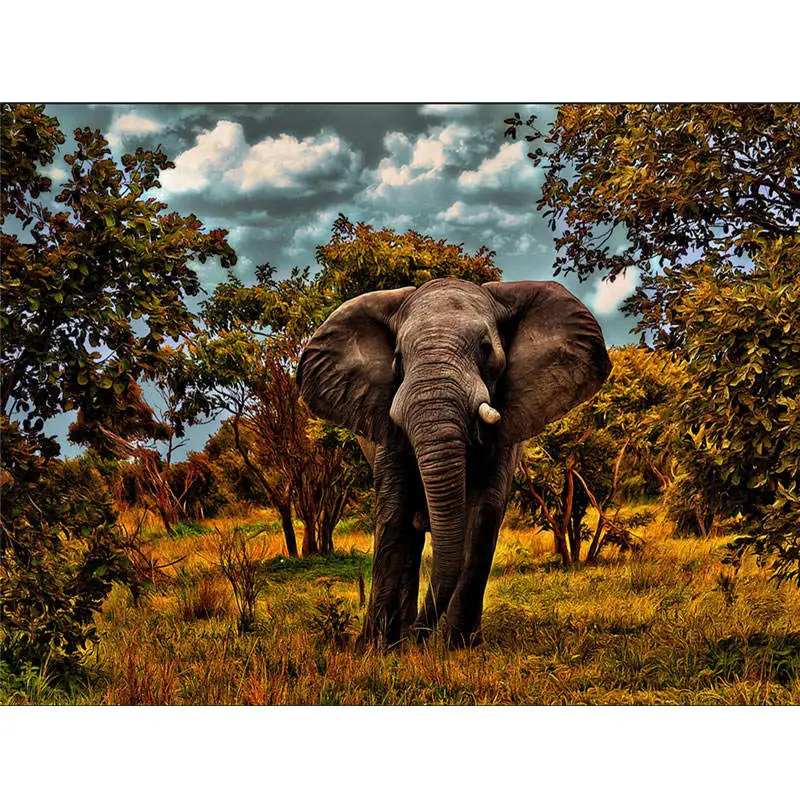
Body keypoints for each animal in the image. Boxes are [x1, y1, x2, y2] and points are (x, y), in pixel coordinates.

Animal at [297, 277, 611, 648]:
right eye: (398, 358)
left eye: (486, 349)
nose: (420, 638)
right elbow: (394, 513)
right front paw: (378, 650)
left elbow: (483, 513)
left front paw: (458, 648)